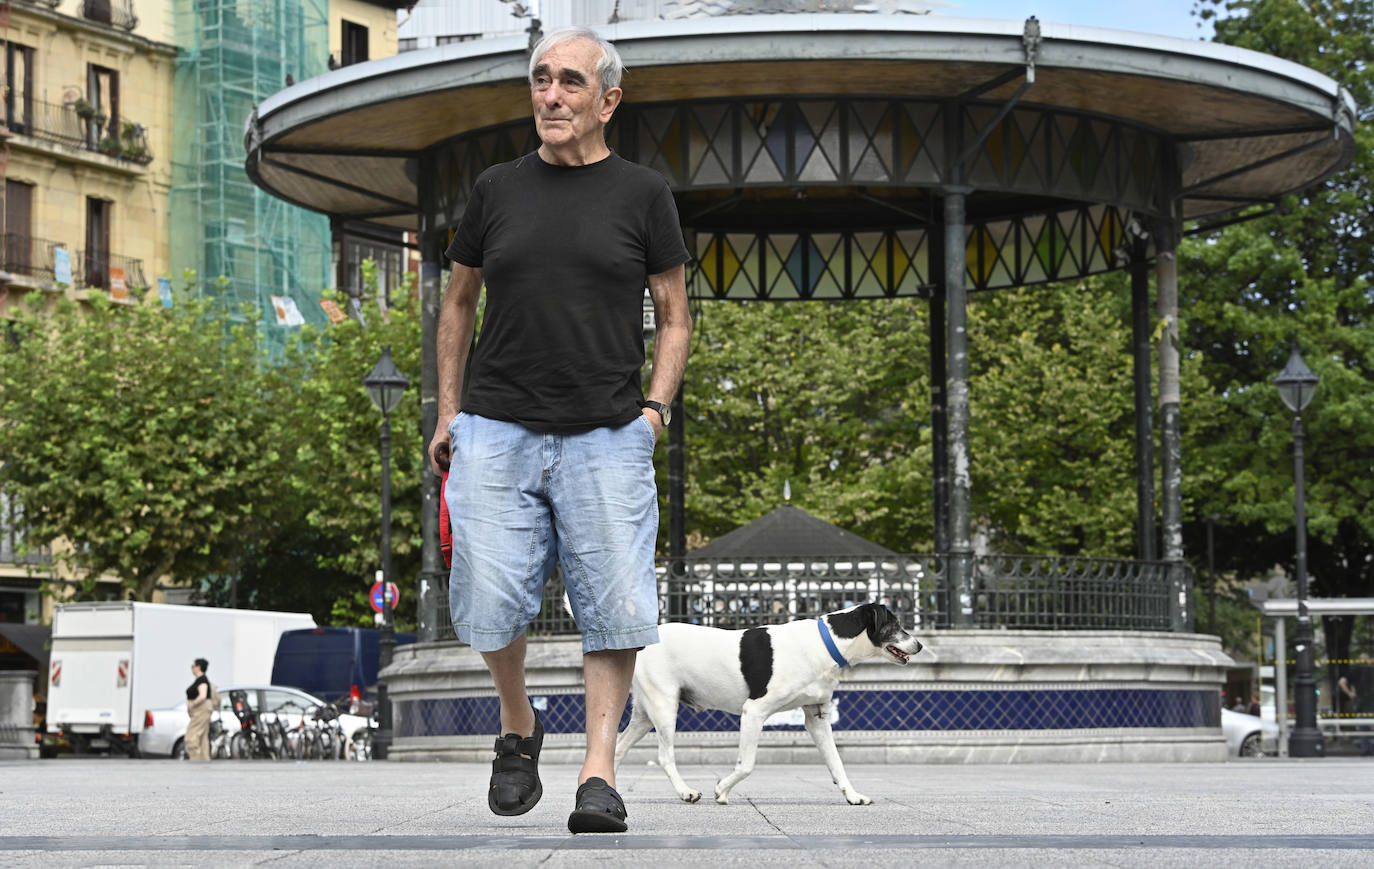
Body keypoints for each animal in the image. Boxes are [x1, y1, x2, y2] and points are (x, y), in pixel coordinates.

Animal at [615, 599, 923, 803]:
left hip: (644, 714)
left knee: (617, 748)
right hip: (664, 707)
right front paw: (722, 789)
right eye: (895, 625)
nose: (919, 645)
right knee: (665, 756)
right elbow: (746, 764)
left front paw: (852, 795)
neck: (827, 643)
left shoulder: (817, 718)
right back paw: (685, 791)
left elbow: (836, 762)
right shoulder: (753, 711)